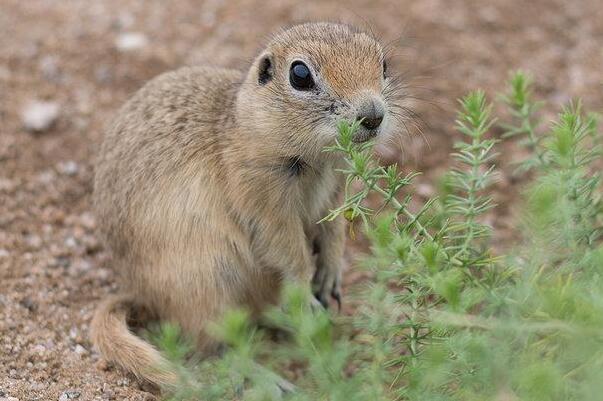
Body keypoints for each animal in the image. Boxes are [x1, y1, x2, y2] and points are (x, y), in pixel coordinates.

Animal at [91, 22, 402, 388]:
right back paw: (271, 378)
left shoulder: (335, 191)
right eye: (300, 75)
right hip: (208, 285)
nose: (373, 115)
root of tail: (142, 296)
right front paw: (306, 295)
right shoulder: (263, 200)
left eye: (384, 64)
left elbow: (334, 230)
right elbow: (288, 250)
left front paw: (330, 276)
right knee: (218, 348)